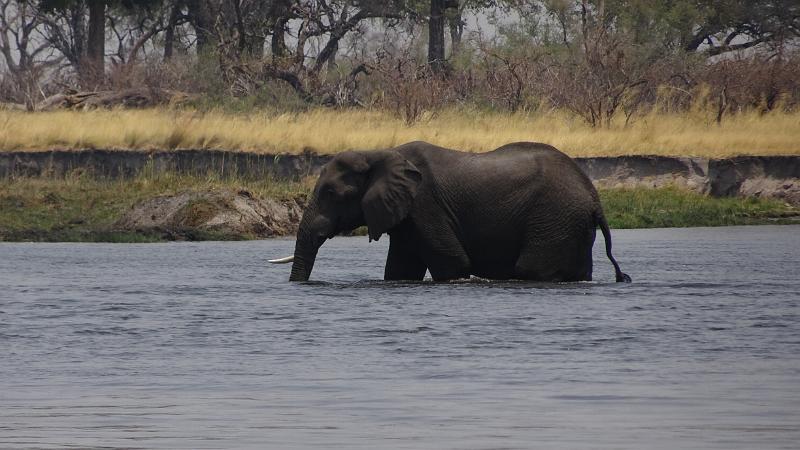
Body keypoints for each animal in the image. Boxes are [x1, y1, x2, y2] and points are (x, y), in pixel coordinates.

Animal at [270, 141, 632, 284]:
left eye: (331, 193)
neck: (380, 152)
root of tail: (594, 198)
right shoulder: (407, 217)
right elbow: (400, 271)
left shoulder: (425, 205)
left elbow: (452, 262)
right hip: (570, 224)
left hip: (554, 218)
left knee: (533, 269)